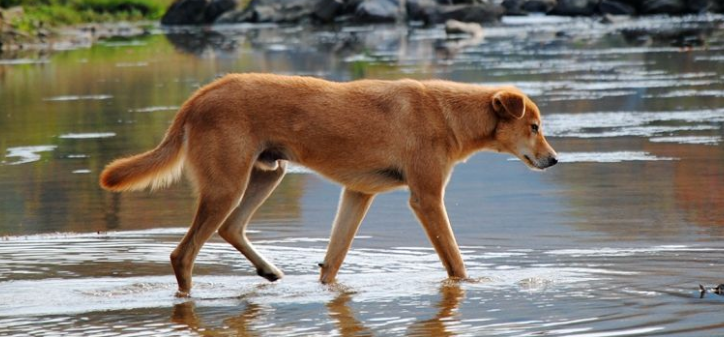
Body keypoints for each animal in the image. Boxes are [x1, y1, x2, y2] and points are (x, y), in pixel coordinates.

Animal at [99, 73, 556, 294]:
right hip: (226, 185)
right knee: (183, 254)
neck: (448, 114)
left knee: (231, 228)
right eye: (533, 127)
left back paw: (268, 271)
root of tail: (198, 98)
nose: (554, 160)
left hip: (266, 174)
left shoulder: (358, 194)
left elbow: (333, 262)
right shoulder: (426, 198)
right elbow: (456, 263)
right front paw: (471, 285)